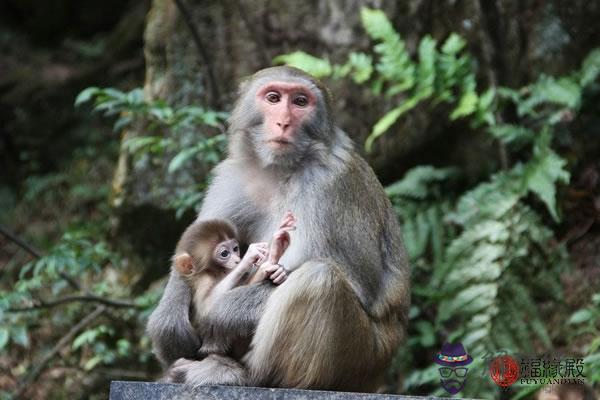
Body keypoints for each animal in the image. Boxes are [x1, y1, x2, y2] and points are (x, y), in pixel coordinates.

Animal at [172, 211, 296, 358]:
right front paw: (249, 257)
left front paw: (274, 260)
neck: (217, 272)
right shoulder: (204, 279)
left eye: (235, 249)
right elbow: (207, 308)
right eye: (224, 253)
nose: (237, 260)